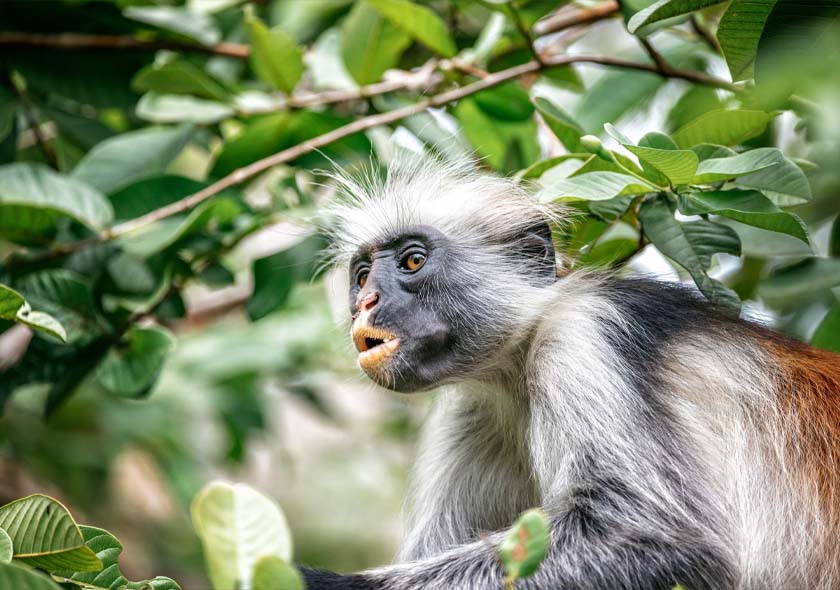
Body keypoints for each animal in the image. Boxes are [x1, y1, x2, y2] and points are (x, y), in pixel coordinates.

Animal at [298, 156, 836, 590]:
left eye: (413, 260)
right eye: (362, 276)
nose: (367, 302)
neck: (518, 359)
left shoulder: (584, 336)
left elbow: (656, 535)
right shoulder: (475, 412)